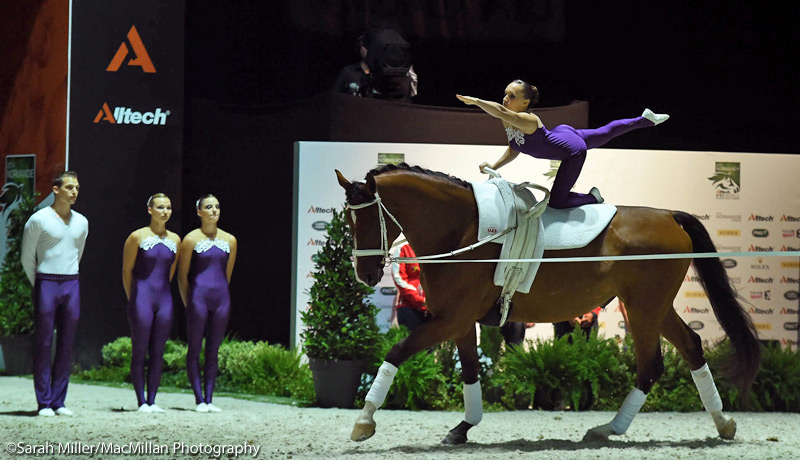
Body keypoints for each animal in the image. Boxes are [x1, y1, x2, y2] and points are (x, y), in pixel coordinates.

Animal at [334, 164, 760, 444]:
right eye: (348, 221)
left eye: (367, 219)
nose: (366, 274)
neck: (463, 230)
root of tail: (669, 215)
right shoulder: (460, 321)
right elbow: (470, 372)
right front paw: (463, 427)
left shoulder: (449, 319)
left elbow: (396, 351)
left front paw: (364, 421)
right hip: (652, 306)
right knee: (690, 347)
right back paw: (722, 424)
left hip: (643, 308)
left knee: (652, 364)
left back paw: (609, 428)